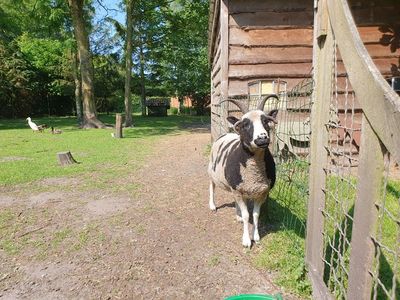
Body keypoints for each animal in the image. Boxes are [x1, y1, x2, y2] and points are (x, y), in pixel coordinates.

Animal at [209, 96, 278, 248]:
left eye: (266, 121)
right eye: (245, 124)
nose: (262, 138)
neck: (254, 173)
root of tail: (228, 132)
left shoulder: (261, 192)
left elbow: (255, 214)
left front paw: (256, 237)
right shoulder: (238, 188)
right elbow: (247, 215)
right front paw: (246, 240)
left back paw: (238, 215)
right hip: (211, 170)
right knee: (211, 186)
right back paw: (212, 205)